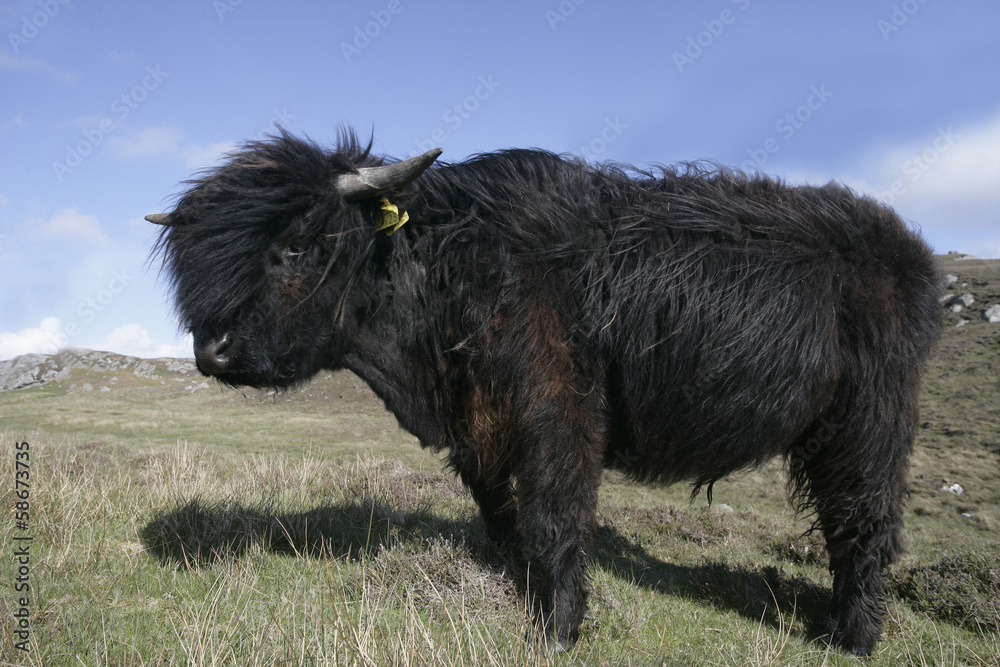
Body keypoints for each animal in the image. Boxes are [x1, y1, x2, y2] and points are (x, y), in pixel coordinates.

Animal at [147, 129, 941, 655]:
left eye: (296, 245)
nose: (211, 350)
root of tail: (905, 245)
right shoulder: (480, 421)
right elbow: (498, 508)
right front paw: (510, 579)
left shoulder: (557, 410)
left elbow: (557, 512)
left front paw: (558, 627)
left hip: (867, 425)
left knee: (864, 524)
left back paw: (852, 636)